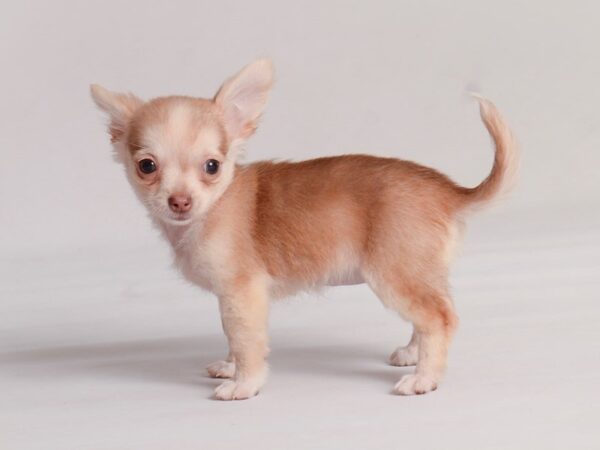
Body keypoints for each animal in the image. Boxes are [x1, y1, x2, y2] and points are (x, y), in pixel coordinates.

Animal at [89, 59, 516, 400]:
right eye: (147, 166)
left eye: (212, 166)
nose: (180, 201)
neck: (214, 208)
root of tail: (449, 191)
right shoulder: (230, 298)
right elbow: (231, 337)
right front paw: (229, 366)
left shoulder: (243, 294)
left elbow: (246, 341)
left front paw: (244, 384)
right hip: (421, 271)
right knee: (433, 313)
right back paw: (413, 354)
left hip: (394, 274)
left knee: (440, 318)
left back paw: (424, 378)